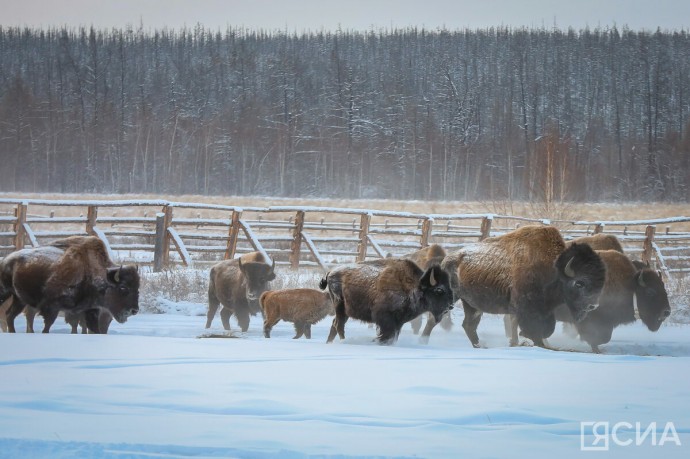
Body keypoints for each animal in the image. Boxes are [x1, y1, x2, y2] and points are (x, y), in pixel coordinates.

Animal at [0, 237, 140, 334]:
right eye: (123, 287)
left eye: (137, 289)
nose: (134, 310)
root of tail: (5, 260)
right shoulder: (52, 308)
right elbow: (48, 326)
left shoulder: (89, 311)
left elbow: (93, 329)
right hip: (6, 293)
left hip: (19, 299)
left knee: (10, 315)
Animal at [322, 258, 454, 344]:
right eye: (439, 290)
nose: (450, 305)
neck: (413, 286)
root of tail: (330, 273)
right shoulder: (385, 318)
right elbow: (387, 334)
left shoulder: (398, 322)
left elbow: (392, 336)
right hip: (339, 306)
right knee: (338, 324)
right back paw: (343, 341)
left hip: (345, 311)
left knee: (335, 324)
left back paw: (329, 343)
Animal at [422, 226, 604, 348]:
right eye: (579, 283)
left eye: (600, 282)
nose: (593, 305)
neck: (553, 267)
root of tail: (447, 260)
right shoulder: (526, 307)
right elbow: (535, 328)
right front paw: (524, 340)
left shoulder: (543, 310)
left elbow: (545, 329)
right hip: (452, 298)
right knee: (434, 319)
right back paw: (423, 341)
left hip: (472, 305)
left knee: (469, 325)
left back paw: (481, 346)